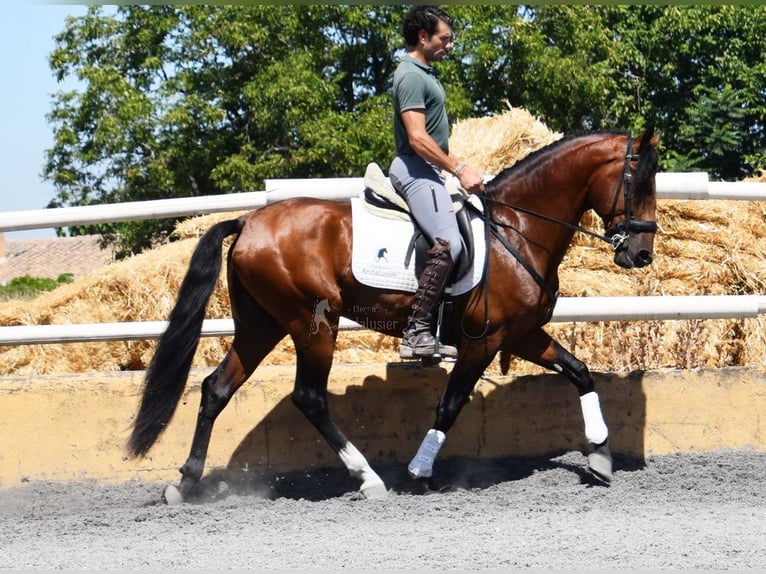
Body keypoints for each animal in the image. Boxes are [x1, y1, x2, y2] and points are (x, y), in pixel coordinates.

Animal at [126, 129, 660, 504]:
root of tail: (249, 220)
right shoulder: (482, 341)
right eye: (638, 181)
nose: (641, 254)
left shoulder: (520, 334)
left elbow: (580, 372)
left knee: (216, 388)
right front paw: (420, 472)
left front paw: (600, 456)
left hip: (262, 325)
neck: (519, 229)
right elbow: (450, 405)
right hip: (312, 325)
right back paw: (368, 478)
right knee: (309, 397)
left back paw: (185, 484)